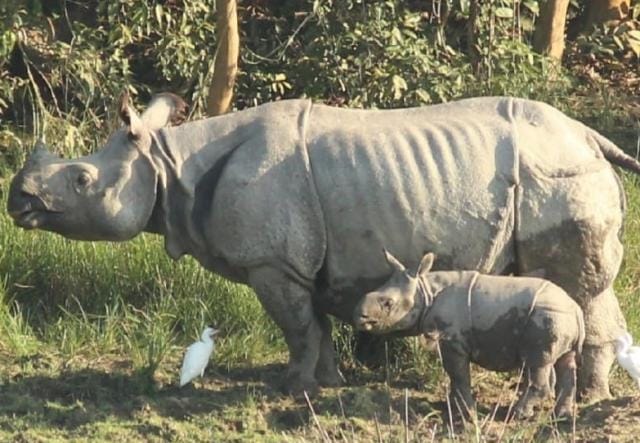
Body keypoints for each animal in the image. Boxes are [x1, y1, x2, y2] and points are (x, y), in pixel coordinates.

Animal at [7, 93, 640, 399]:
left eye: (81, 180)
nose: (18, 200)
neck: (166, 162)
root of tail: (588, 134)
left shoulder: (272, 262)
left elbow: (297, 326)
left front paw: (294, 388)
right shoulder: (298, 260)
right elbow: (315, 323)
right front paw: (328, 384)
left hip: (555, 173)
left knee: (577, 286)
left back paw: (589, 397)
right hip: (557, 167)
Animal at [354, 251, 585, 419]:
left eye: (387, 303)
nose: (359, 316)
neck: (425, 290)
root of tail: (575, 309)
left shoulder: (452, 341)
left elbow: (458, 374)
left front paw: (466, 412)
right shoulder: (449, 339)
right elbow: (454, 376)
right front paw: (450, 405)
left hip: (547, 317)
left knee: (538, 362)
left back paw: (516, 415)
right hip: (559, 318)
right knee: (565, 360)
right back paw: (561, 417)